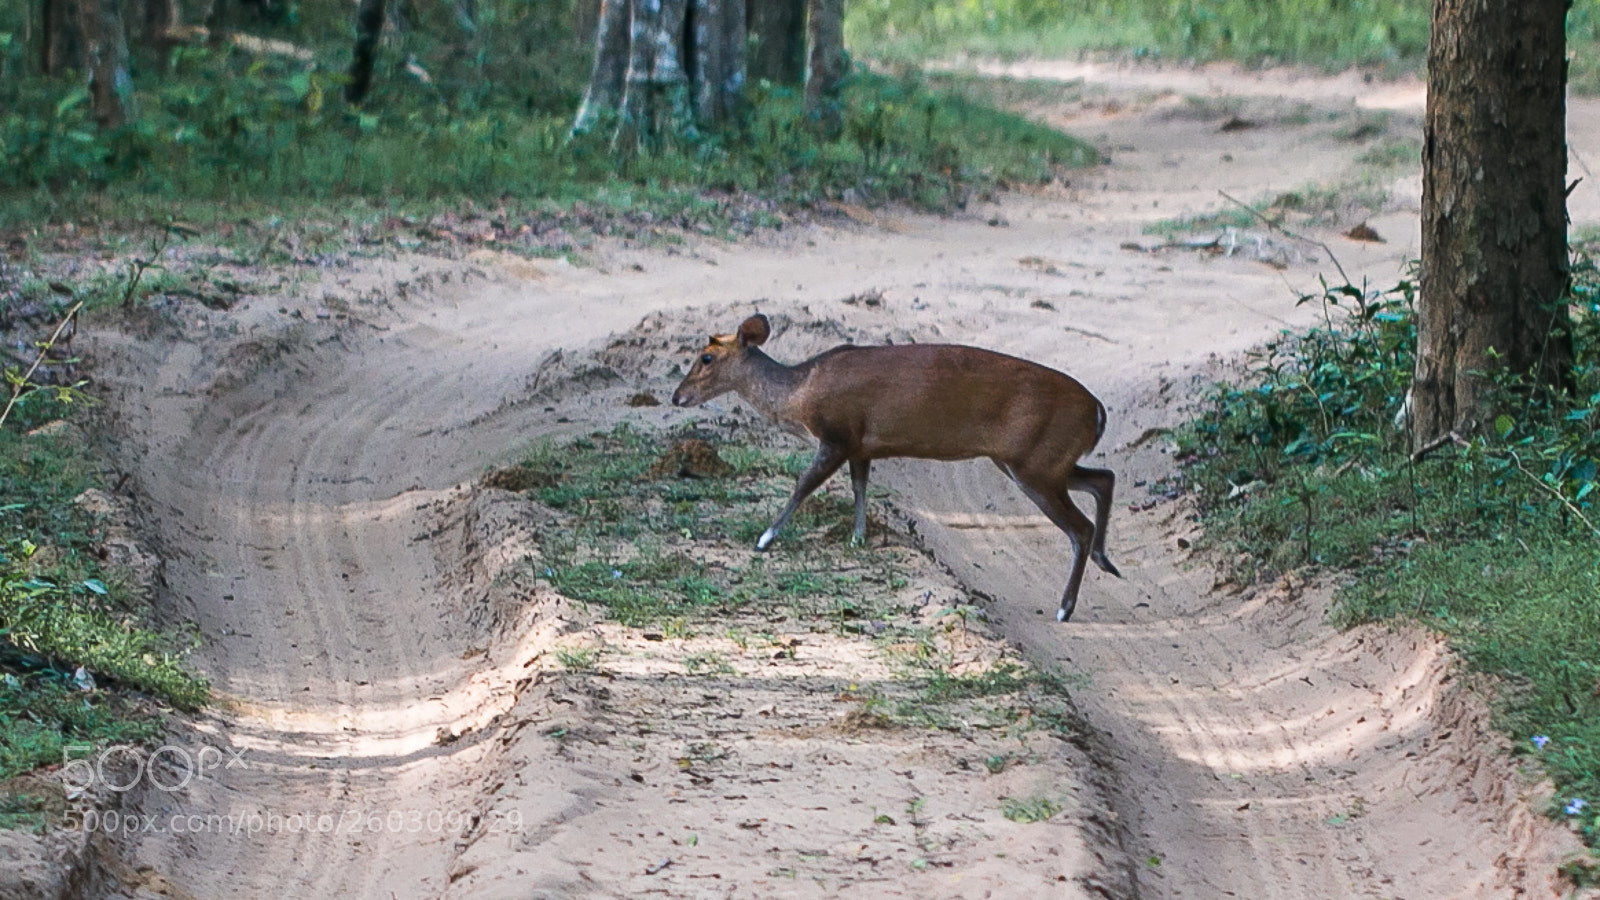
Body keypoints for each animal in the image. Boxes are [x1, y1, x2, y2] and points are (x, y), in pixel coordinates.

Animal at [670, 314, 1120, 622]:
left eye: (706, 357)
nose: (677, 396)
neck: (800, 394)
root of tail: (1098, 411)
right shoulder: (860, 445)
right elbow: (860, 488)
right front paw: (858, 539)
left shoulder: (837, 434)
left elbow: (804, 484)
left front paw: (764, 539)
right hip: (1038, 461)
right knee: (1104, 478)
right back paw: (1105, 561)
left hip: (1035, 462)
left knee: (1080, 526)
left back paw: (1065, 607)